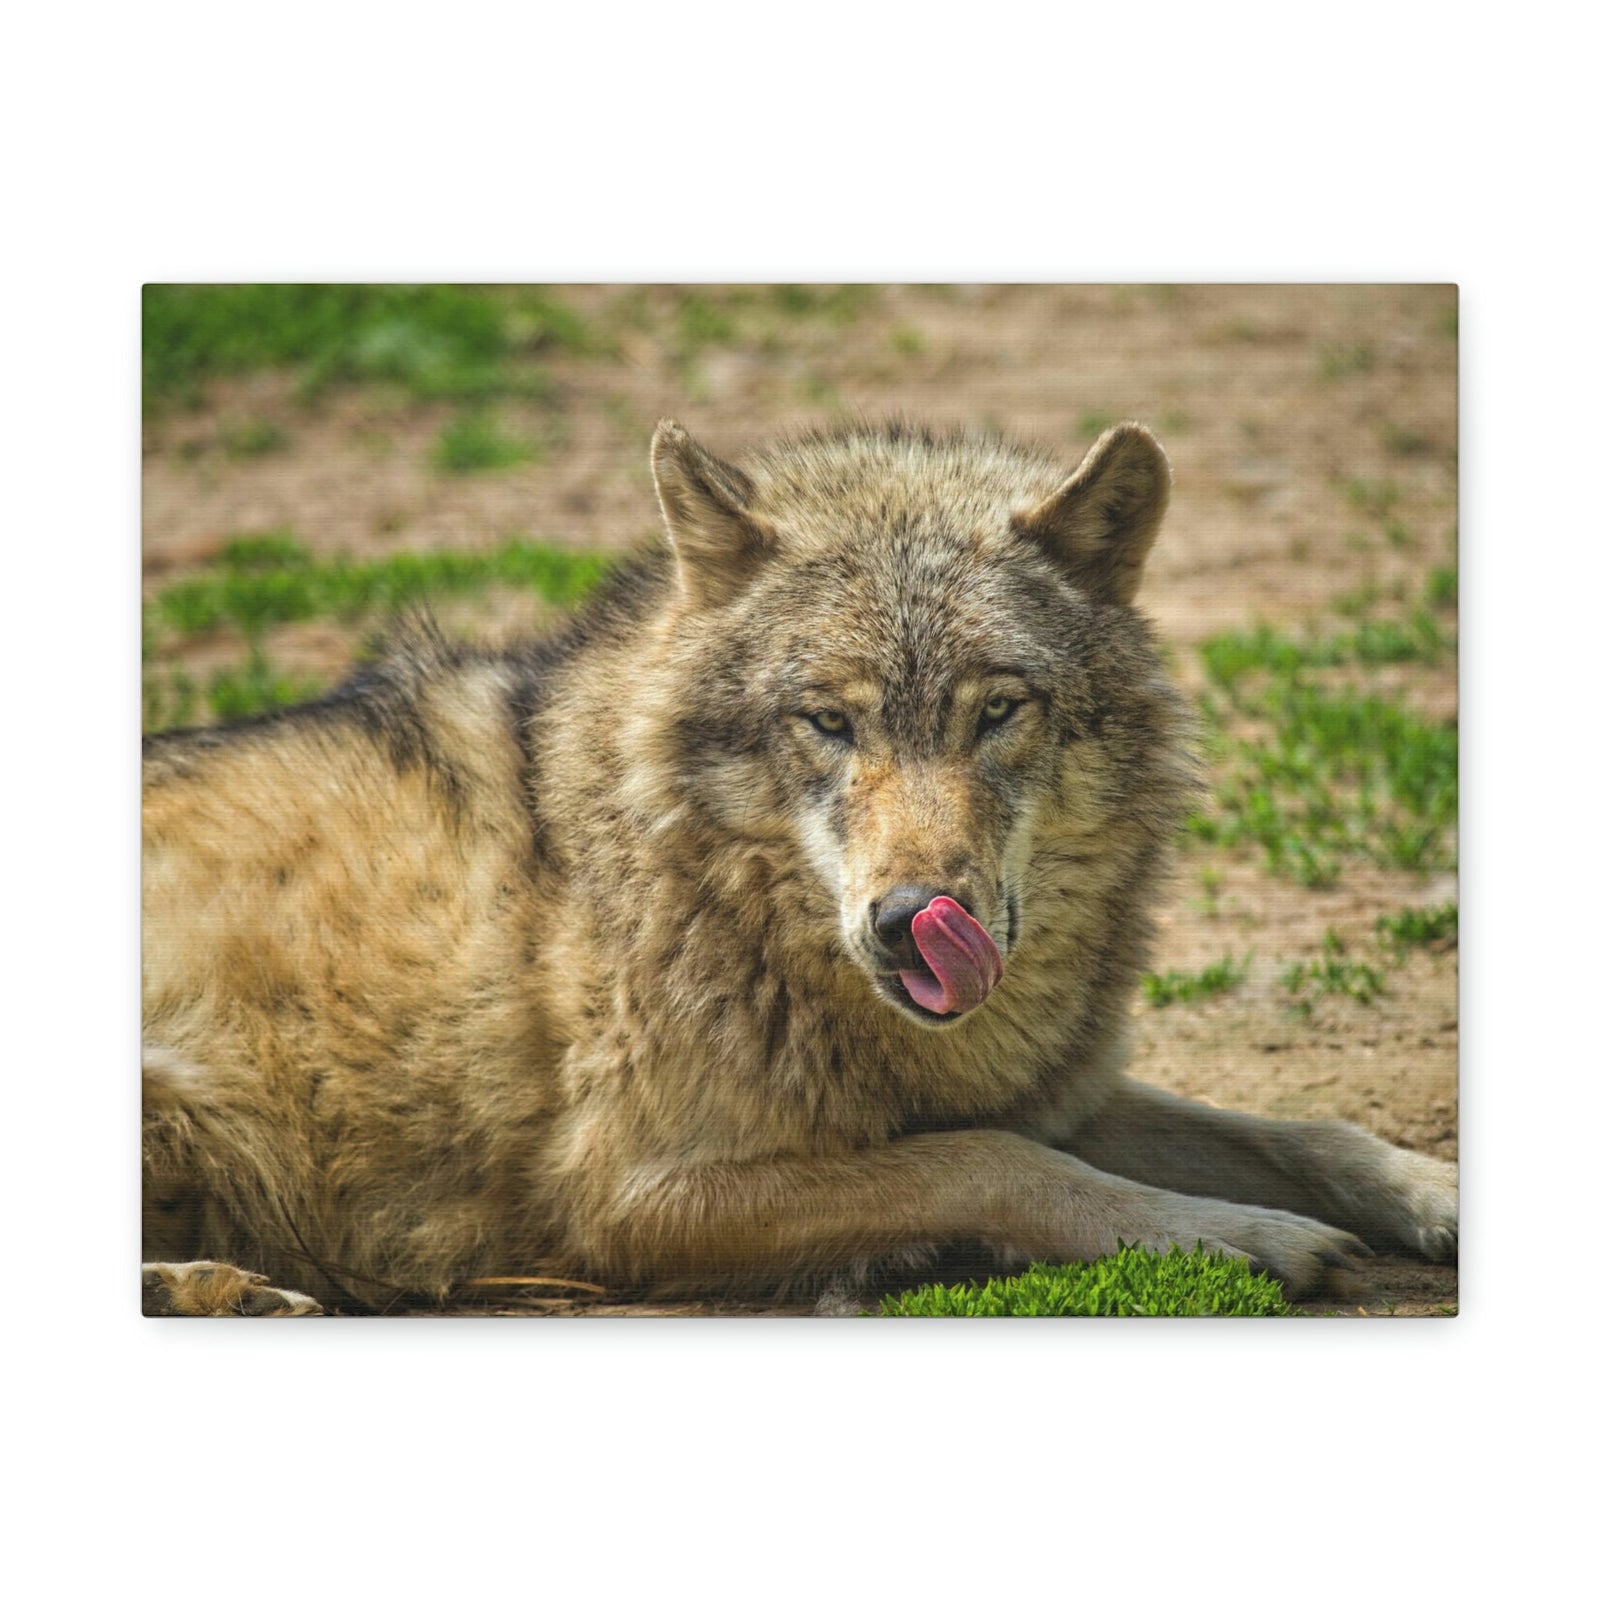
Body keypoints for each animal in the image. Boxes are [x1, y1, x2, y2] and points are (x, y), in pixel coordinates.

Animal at [142, 417, 1457, 1314]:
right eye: (829, 720)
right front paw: (1227, 1235)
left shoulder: (1055, 1088)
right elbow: (991, 1160)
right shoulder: (631, 1196)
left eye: (997, 710)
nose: (912, 917)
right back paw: (222, 1288)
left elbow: (1310, 1132)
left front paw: (1433, 1194)